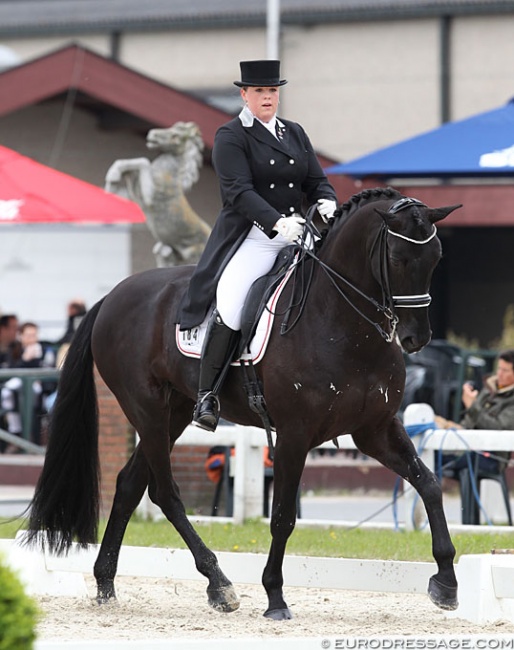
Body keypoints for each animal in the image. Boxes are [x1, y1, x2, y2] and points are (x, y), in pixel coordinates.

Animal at [27, 186, 460, 616]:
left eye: (438, 257)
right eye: (398, 258)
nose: (416, 338)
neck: (342, 323)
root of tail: (112, 297)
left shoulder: (375, 430)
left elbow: (429, 484)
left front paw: (446, 582)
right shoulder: (294, 435)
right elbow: (283, 516)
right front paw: (275, 597)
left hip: (175, 412)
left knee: (130, 483)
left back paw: (106, 583)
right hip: (146, 409)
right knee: (165, 493)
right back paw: (219, 584)